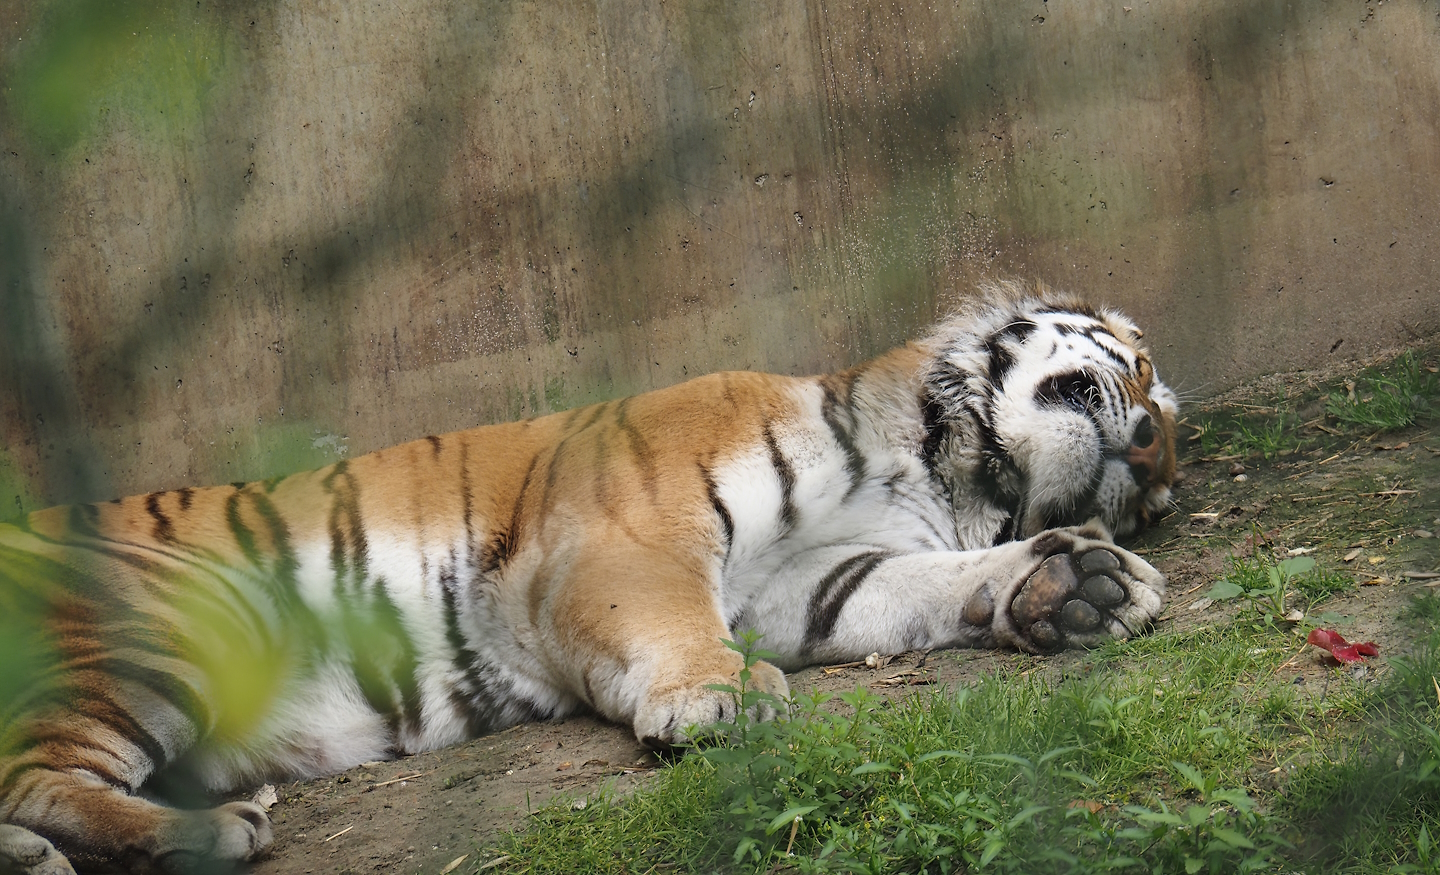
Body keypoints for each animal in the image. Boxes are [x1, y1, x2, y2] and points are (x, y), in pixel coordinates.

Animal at [0, 281, 1176, 874]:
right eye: (1144, 369)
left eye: (1162, 483)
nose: (1155, 458)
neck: (927, 461)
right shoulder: (628, 535)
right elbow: (675, 620)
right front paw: (717, 698)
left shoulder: (816, 582)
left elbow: (933, 586)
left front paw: (1076, 585)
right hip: (180, 618)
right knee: (32, 770)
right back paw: (211, 830)